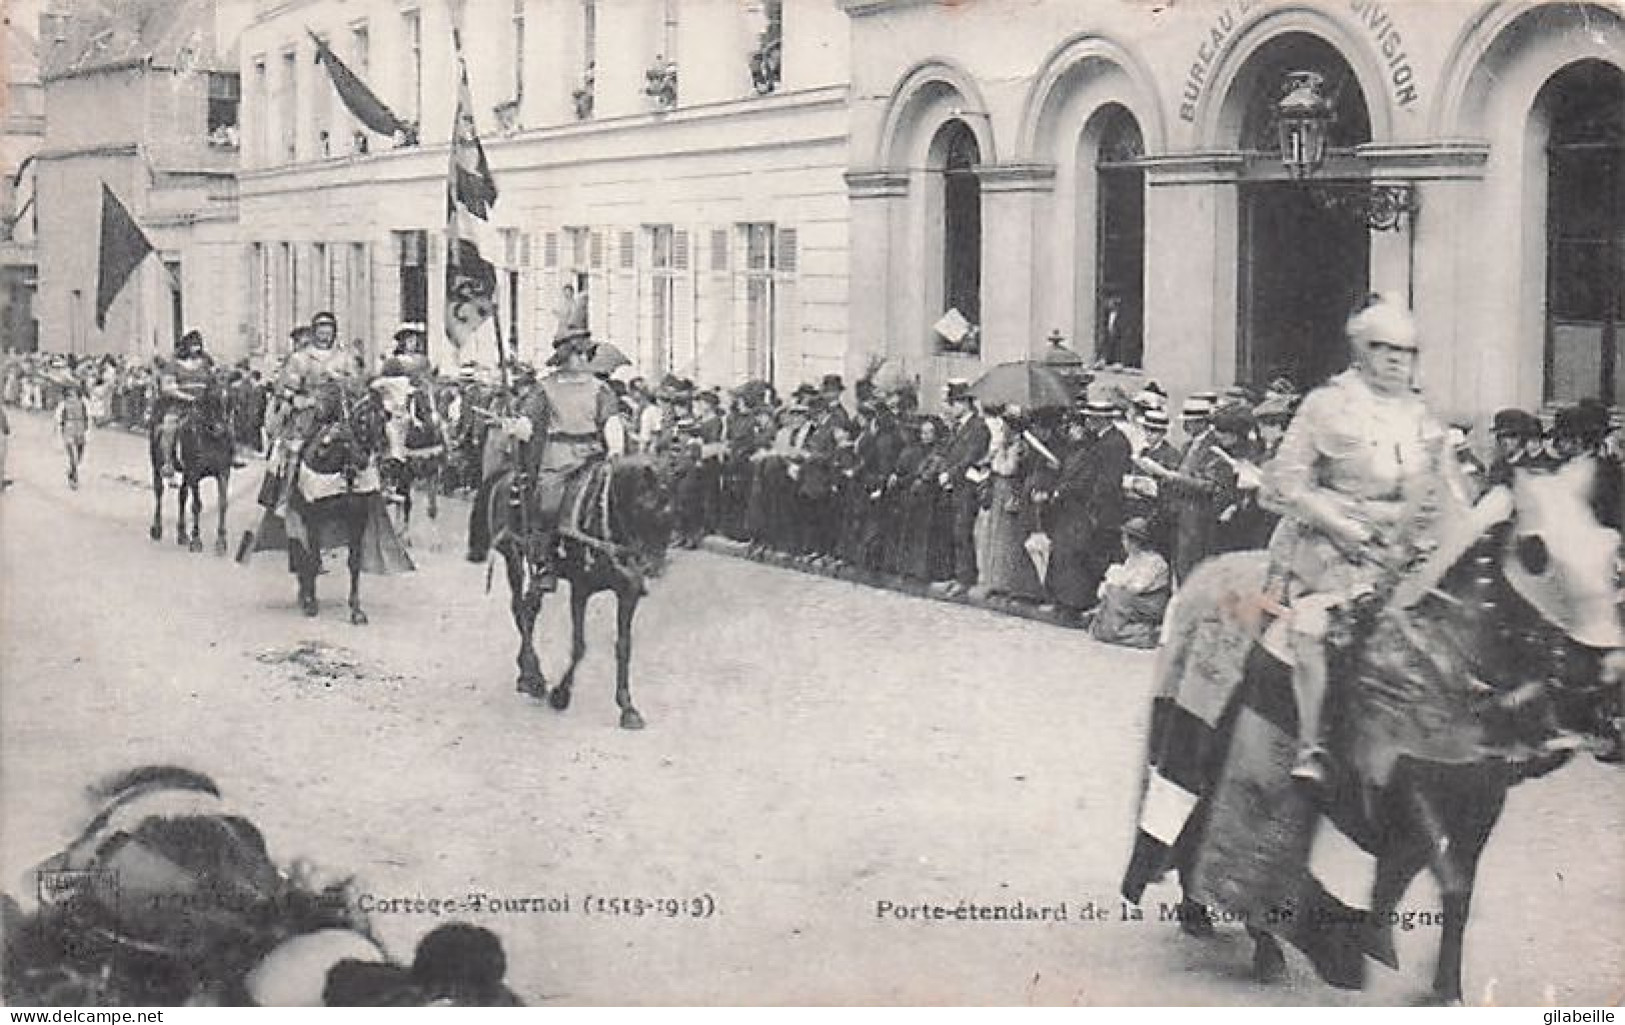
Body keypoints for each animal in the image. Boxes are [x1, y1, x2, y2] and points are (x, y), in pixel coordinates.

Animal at [147, 378, 235, 552]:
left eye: (229, 399)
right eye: (212, 398)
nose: (221, 429)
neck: (210, 438)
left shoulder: (223, 473)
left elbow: (223, 503)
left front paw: (221, 541)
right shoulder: (195, 474)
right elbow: (196, 505)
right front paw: (196, 540)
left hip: (186, 473)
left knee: (182, 495)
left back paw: (182, 534)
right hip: (157, 465)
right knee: (159, 491)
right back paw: (157, 528)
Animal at [474, 458, 672, 730]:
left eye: (670, 512)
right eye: (645, 507)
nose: (650, 568)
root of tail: (508, 474)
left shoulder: (627, 594)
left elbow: (624, 646)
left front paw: (627, 707)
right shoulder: (581, 590)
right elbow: (579, 646)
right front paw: (561, 694)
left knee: (529, 609)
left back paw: (527, 673)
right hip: (513, 557)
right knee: (519, 608)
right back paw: (533, 678)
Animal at [1131, 467, 1625, 1013]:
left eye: (1611, 553)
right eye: (1535, 552)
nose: (1610, 680)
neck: (1446, 660)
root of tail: (1206, 571)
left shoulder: (1480, 799)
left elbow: (1443, 884)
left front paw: (1436, 980)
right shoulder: (1406, 785)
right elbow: (1437, 873)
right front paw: (1375, 950)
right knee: (1206, 823)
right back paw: (1243, 936)